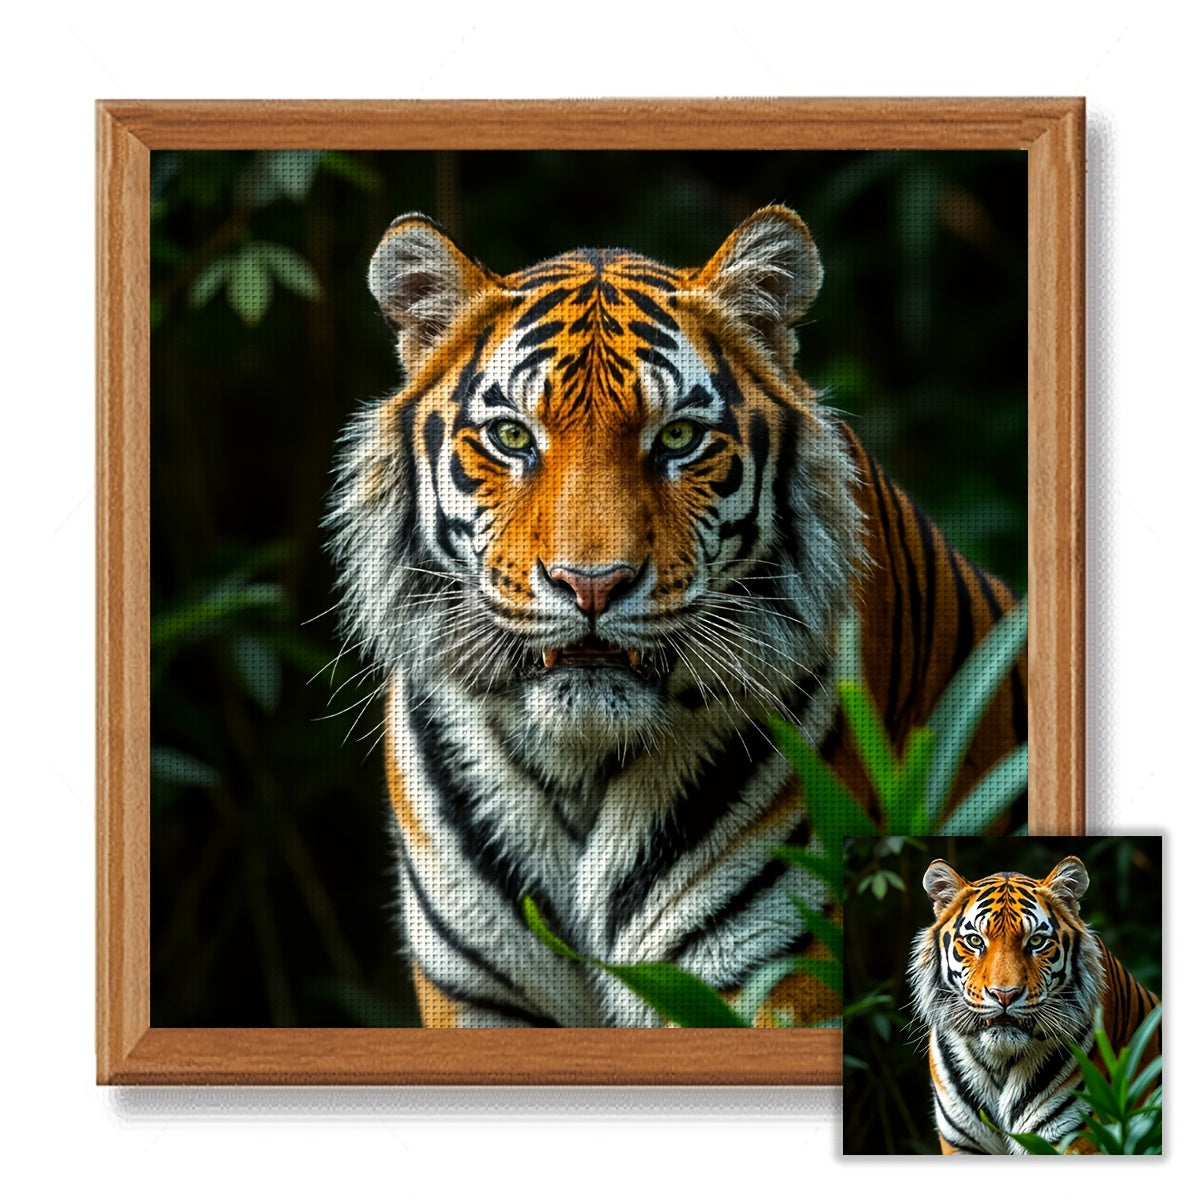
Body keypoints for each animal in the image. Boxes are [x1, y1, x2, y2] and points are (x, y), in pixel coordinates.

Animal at [327, 205, 1027, 1027]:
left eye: (679, 439)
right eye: (511, 437)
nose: (591, 585)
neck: (577, 772)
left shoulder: (771, 971)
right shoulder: (472, 992)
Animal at [909, 856, 1161, 1154]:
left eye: (1037, 941)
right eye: (975, 941)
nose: (1004, 995)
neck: (999, 1063)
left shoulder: (1076, 1136)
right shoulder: (961, 1143)